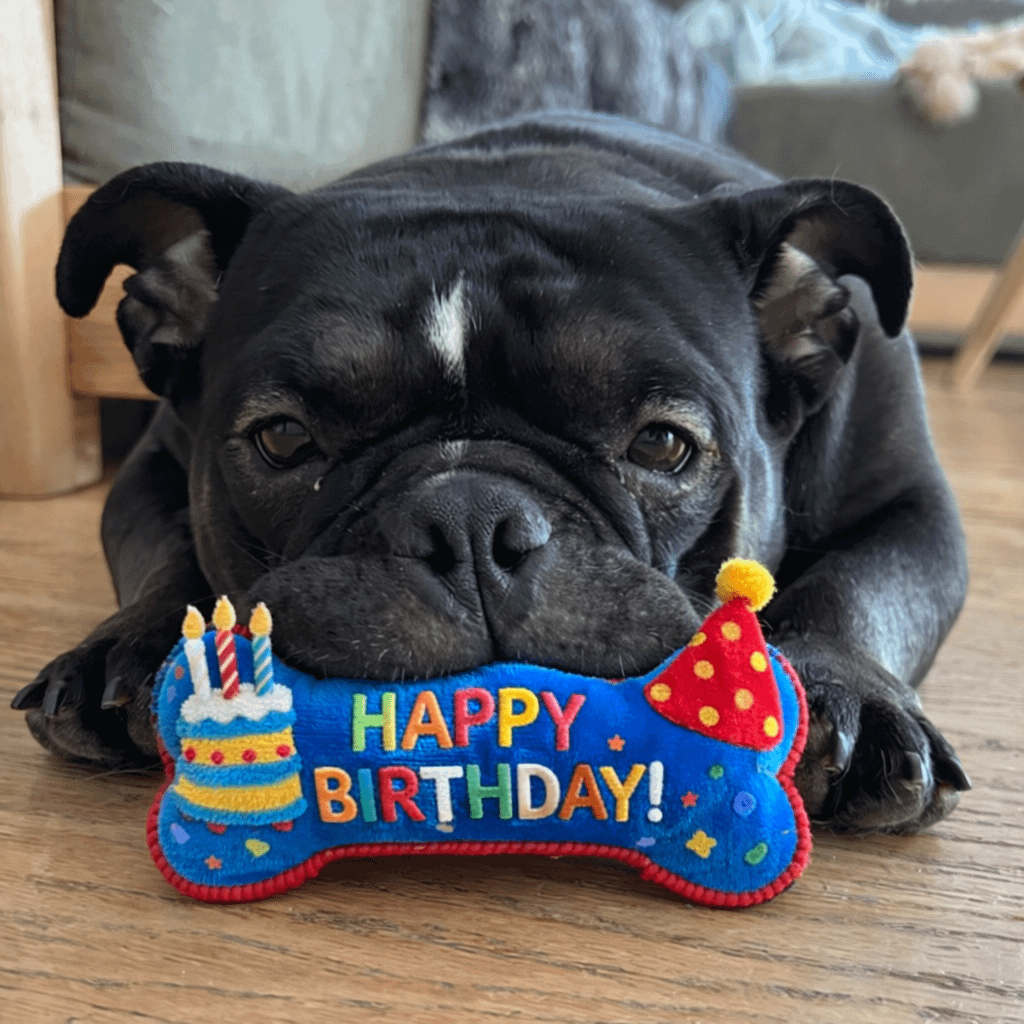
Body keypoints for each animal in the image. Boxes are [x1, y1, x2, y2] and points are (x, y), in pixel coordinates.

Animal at [13, 112, 970, 832]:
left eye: (663, 445)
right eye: (283, 439)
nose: (471, 519)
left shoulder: (914, 509)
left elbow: (859, 585)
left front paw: (847, 699)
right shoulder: (148, 473)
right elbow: (166, 555)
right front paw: (131, 648)